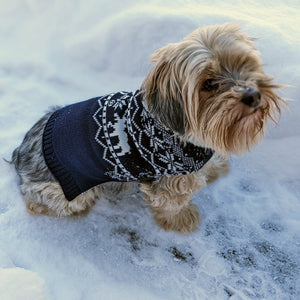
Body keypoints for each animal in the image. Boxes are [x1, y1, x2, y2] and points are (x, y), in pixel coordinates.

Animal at [11, 23, 284, 234]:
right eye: (208, 84)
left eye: (243, 62)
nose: (252, 95)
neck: (178, 131)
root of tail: (20, 153)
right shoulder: (169, 180)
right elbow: (171, 203)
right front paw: (182, 219)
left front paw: (214, 168)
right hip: (65, 190)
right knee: (42, 203)